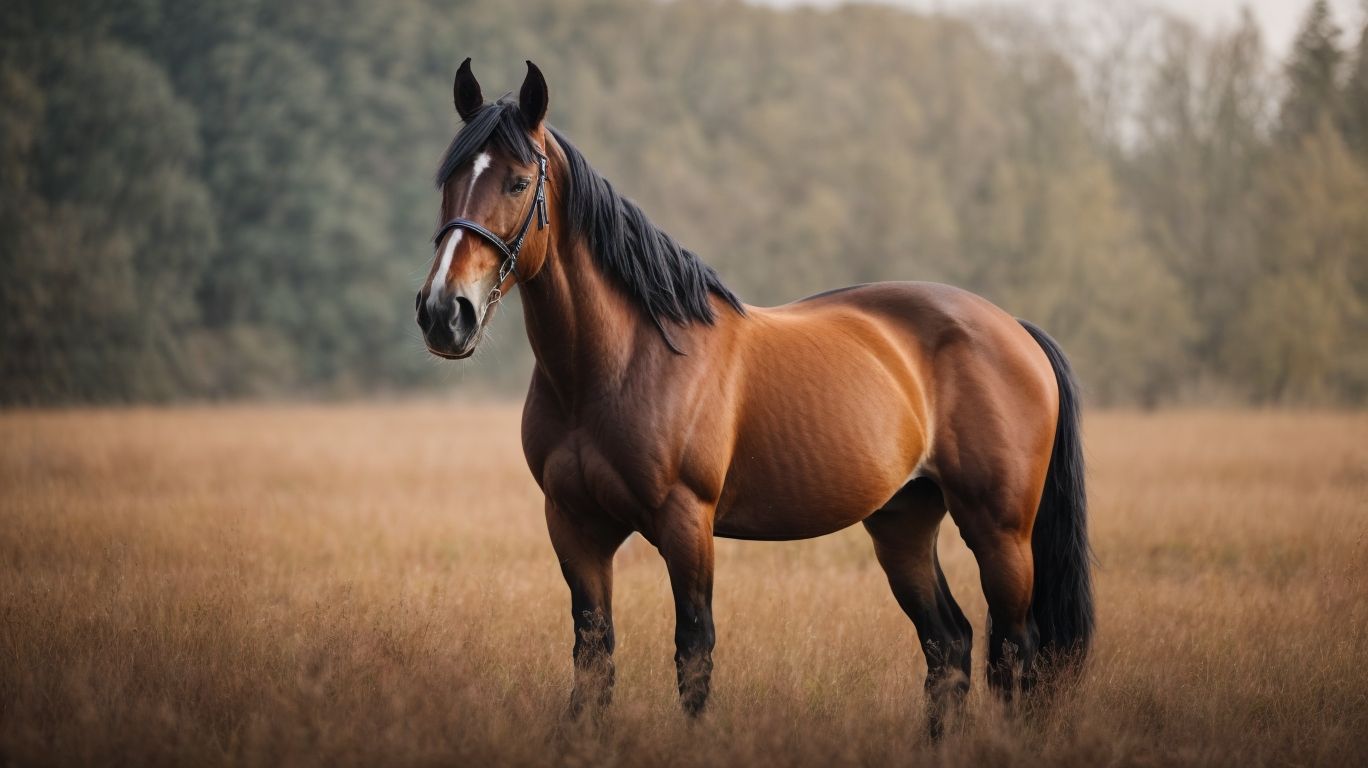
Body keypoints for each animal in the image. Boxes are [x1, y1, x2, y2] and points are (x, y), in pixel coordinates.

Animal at [415, 59, 1094, 736]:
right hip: (903, 522)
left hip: (999, 532)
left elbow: (693, 652)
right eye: (448, 180)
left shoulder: (687, 522)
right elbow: (593, 656)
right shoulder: (574, 525)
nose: (444, 313)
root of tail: (1014, 330)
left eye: (518, 182)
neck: (620, 363)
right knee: (949, 646)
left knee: (1017, 653)